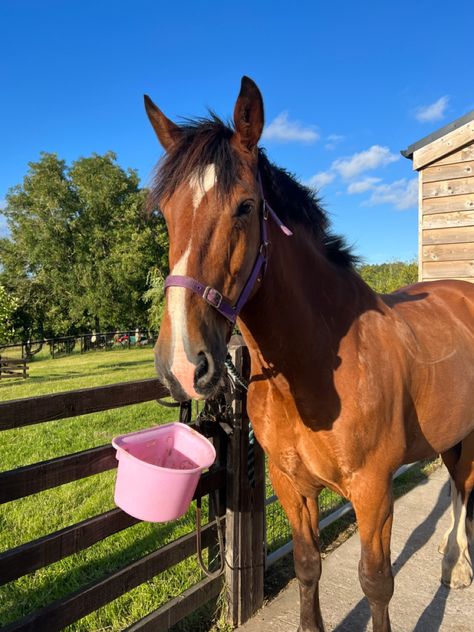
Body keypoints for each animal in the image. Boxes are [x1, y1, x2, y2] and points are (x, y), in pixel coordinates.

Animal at [145, 76, 474, 628]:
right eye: (166, 214)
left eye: (245, 206)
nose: (183, 366)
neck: (314, 367)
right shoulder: (291, 485)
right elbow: (306, 565)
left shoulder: (373, 492)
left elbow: (376, 583)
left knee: (464, 489)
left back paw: (458, 565)